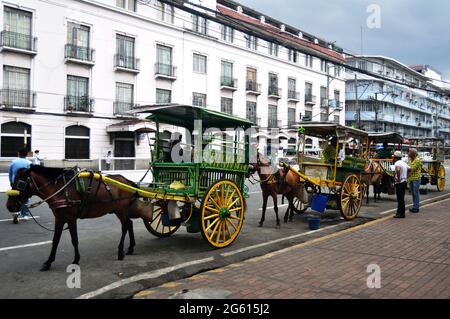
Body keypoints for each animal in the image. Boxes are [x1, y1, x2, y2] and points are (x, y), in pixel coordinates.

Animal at [6, 165, 154, 272]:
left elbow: (74, 240)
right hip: (119, 210)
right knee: (129, 224)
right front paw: (48, 262)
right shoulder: (59, 218)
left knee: (125, 226)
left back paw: (120, 251)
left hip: (120, 210)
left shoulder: (71, 218)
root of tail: (126, 181)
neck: (61, 189)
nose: (9, 206)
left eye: (19, 183)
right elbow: (55, 241)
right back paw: (130, 248)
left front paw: (76, 260)